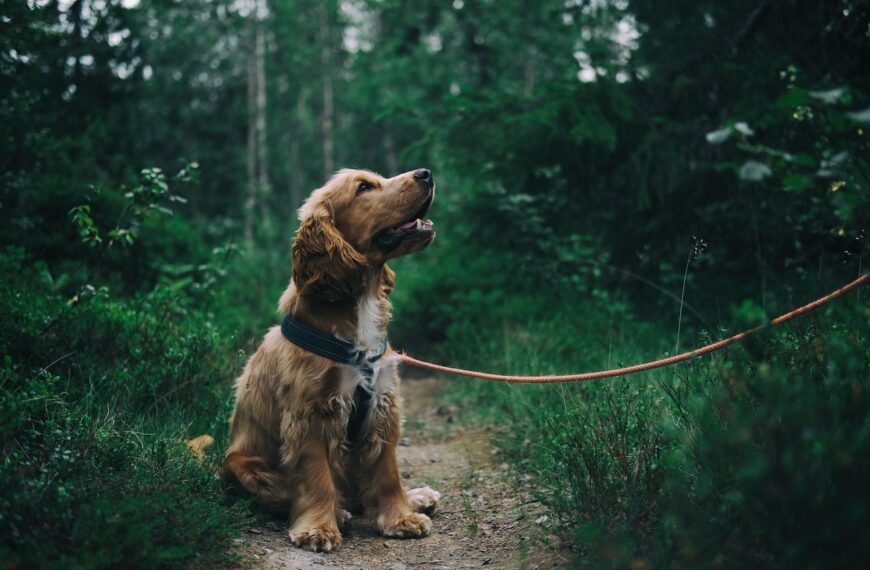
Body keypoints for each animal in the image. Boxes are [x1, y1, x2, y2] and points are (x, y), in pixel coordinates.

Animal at [223, 166, 440, 548]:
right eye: (364, 188)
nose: (426, 173)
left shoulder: (382, 405)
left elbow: (387, 472)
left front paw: (401, 517)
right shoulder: (310, 412)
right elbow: (316, 476)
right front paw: (318, 528)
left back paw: (416, 497)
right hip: (242, 465)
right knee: (285, 493)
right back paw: (338, 513)